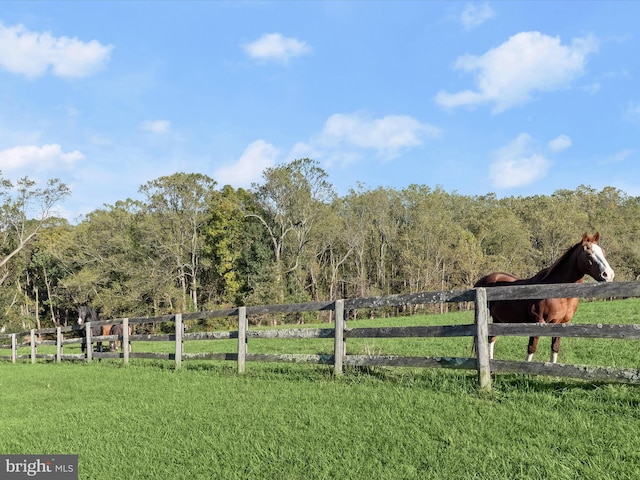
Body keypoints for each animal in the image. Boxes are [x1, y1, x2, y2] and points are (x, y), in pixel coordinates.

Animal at [476, 233, 616, 364]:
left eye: (603, 252)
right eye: (588, 253)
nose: (608, 274)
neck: (558, 293)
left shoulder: (562, 324)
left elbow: (555, 348)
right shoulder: (538, 321)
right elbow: (531, 348)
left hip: (497, 319)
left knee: (491, 339)